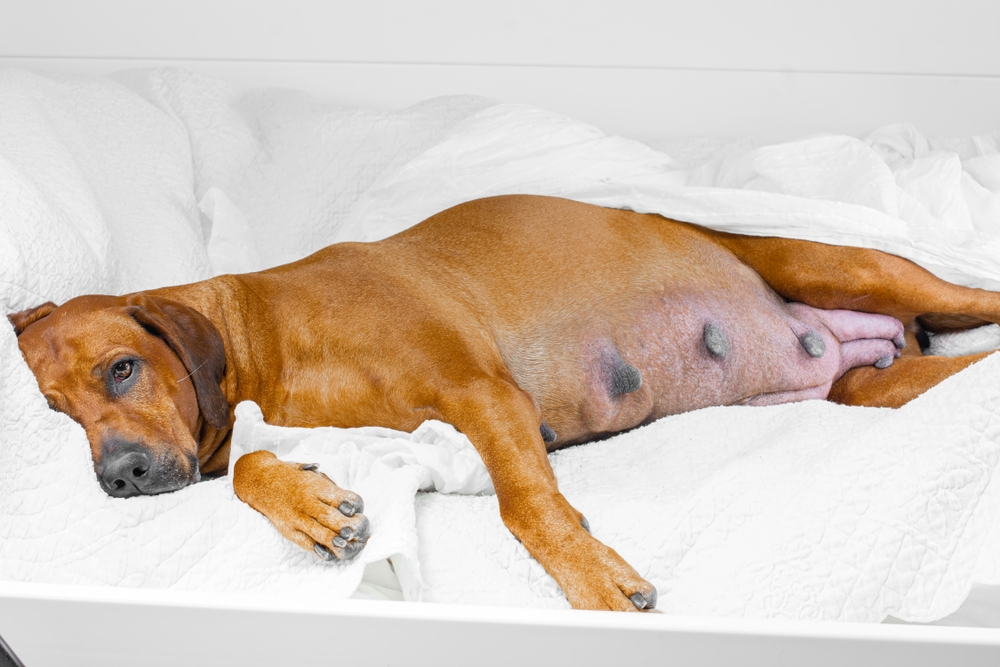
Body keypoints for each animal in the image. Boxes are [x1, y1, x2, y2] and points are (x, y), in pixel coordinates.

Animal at [9, 193, 1000, 612]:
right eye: (52, 408)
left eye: (122, 369)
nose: (120, 476)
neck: (267, 339)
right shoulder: (409, 440)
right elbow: (253, 462)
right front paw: (315, 511)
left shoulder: (481, 395)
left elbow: (527, 507)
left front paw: (597, 583)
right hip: (877, 387)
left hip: (847, 266)